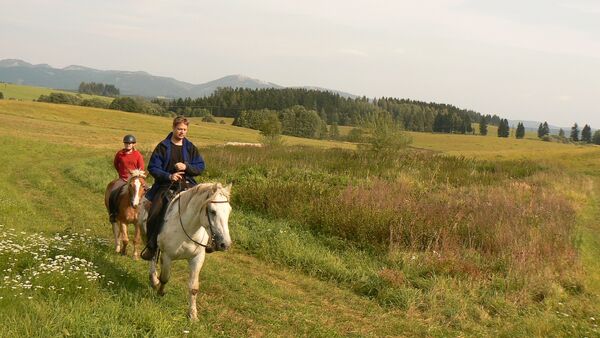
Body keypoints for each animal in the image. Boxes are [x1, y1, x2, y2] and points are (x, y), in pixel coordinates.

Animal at [138, 182, 232, 320]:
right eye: (212, 211)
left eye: (229, 211)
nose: (225, 244)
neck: (188, 229)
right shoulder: (167, 256)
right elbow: (165, 277)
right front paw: (160, 291)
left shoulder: (197, 258)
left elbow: (193, 287)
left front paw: (192, 315)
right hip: (146, 236)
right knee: (152, 256)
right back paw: (154, 280)